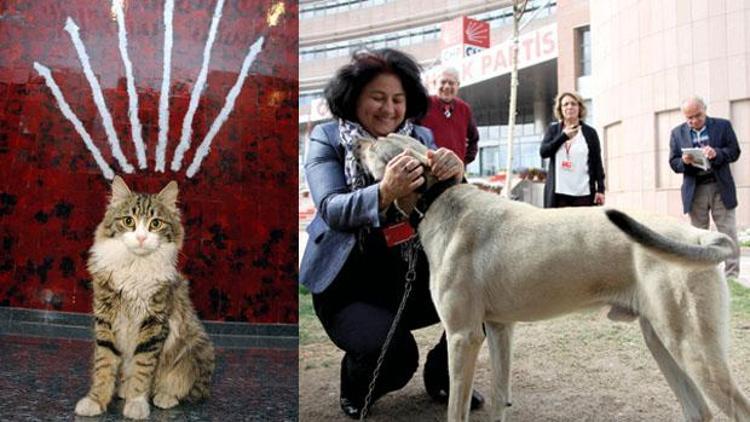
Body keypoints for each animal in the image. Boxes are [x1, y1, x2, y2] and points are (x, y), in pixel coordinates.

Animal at [75, 175, 214, 418]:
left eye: (155, 224)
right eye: (128, 221)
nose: (141, 237)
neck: (135, 264)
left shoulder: (154, 324)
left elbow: (142, 369)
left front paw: (137, 404)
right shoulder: (105, 320)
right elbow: (104, 366)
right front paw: (95, 401)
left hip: (195, 351)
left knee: (188, 388)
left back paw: (164, 397)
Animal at [354, 135, 750, 422]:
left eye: (379, 143)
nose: (355, 140)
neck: (439, 199)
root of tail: (698, 236)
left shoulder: (463, 336)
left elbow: (457, 410)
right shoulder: (499, 329)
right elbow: (499, 397)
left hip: (693, 347)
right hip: (661, 340)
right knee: (698, 411)